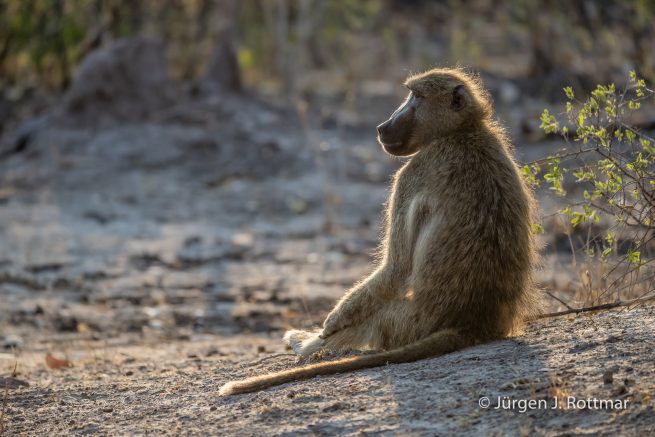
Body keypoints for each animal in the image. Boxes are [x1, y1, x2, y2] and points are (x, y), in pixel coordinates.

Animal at [219, 67, 539, 396]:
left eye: (416, 97)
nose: (383, 126)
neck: (461, 132)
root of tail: (473, 325)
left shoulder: (410, 174)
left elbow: (396, 268)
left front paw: (330, 323)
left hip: (404, 322)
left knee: (368, 319)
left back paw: (303, 342)